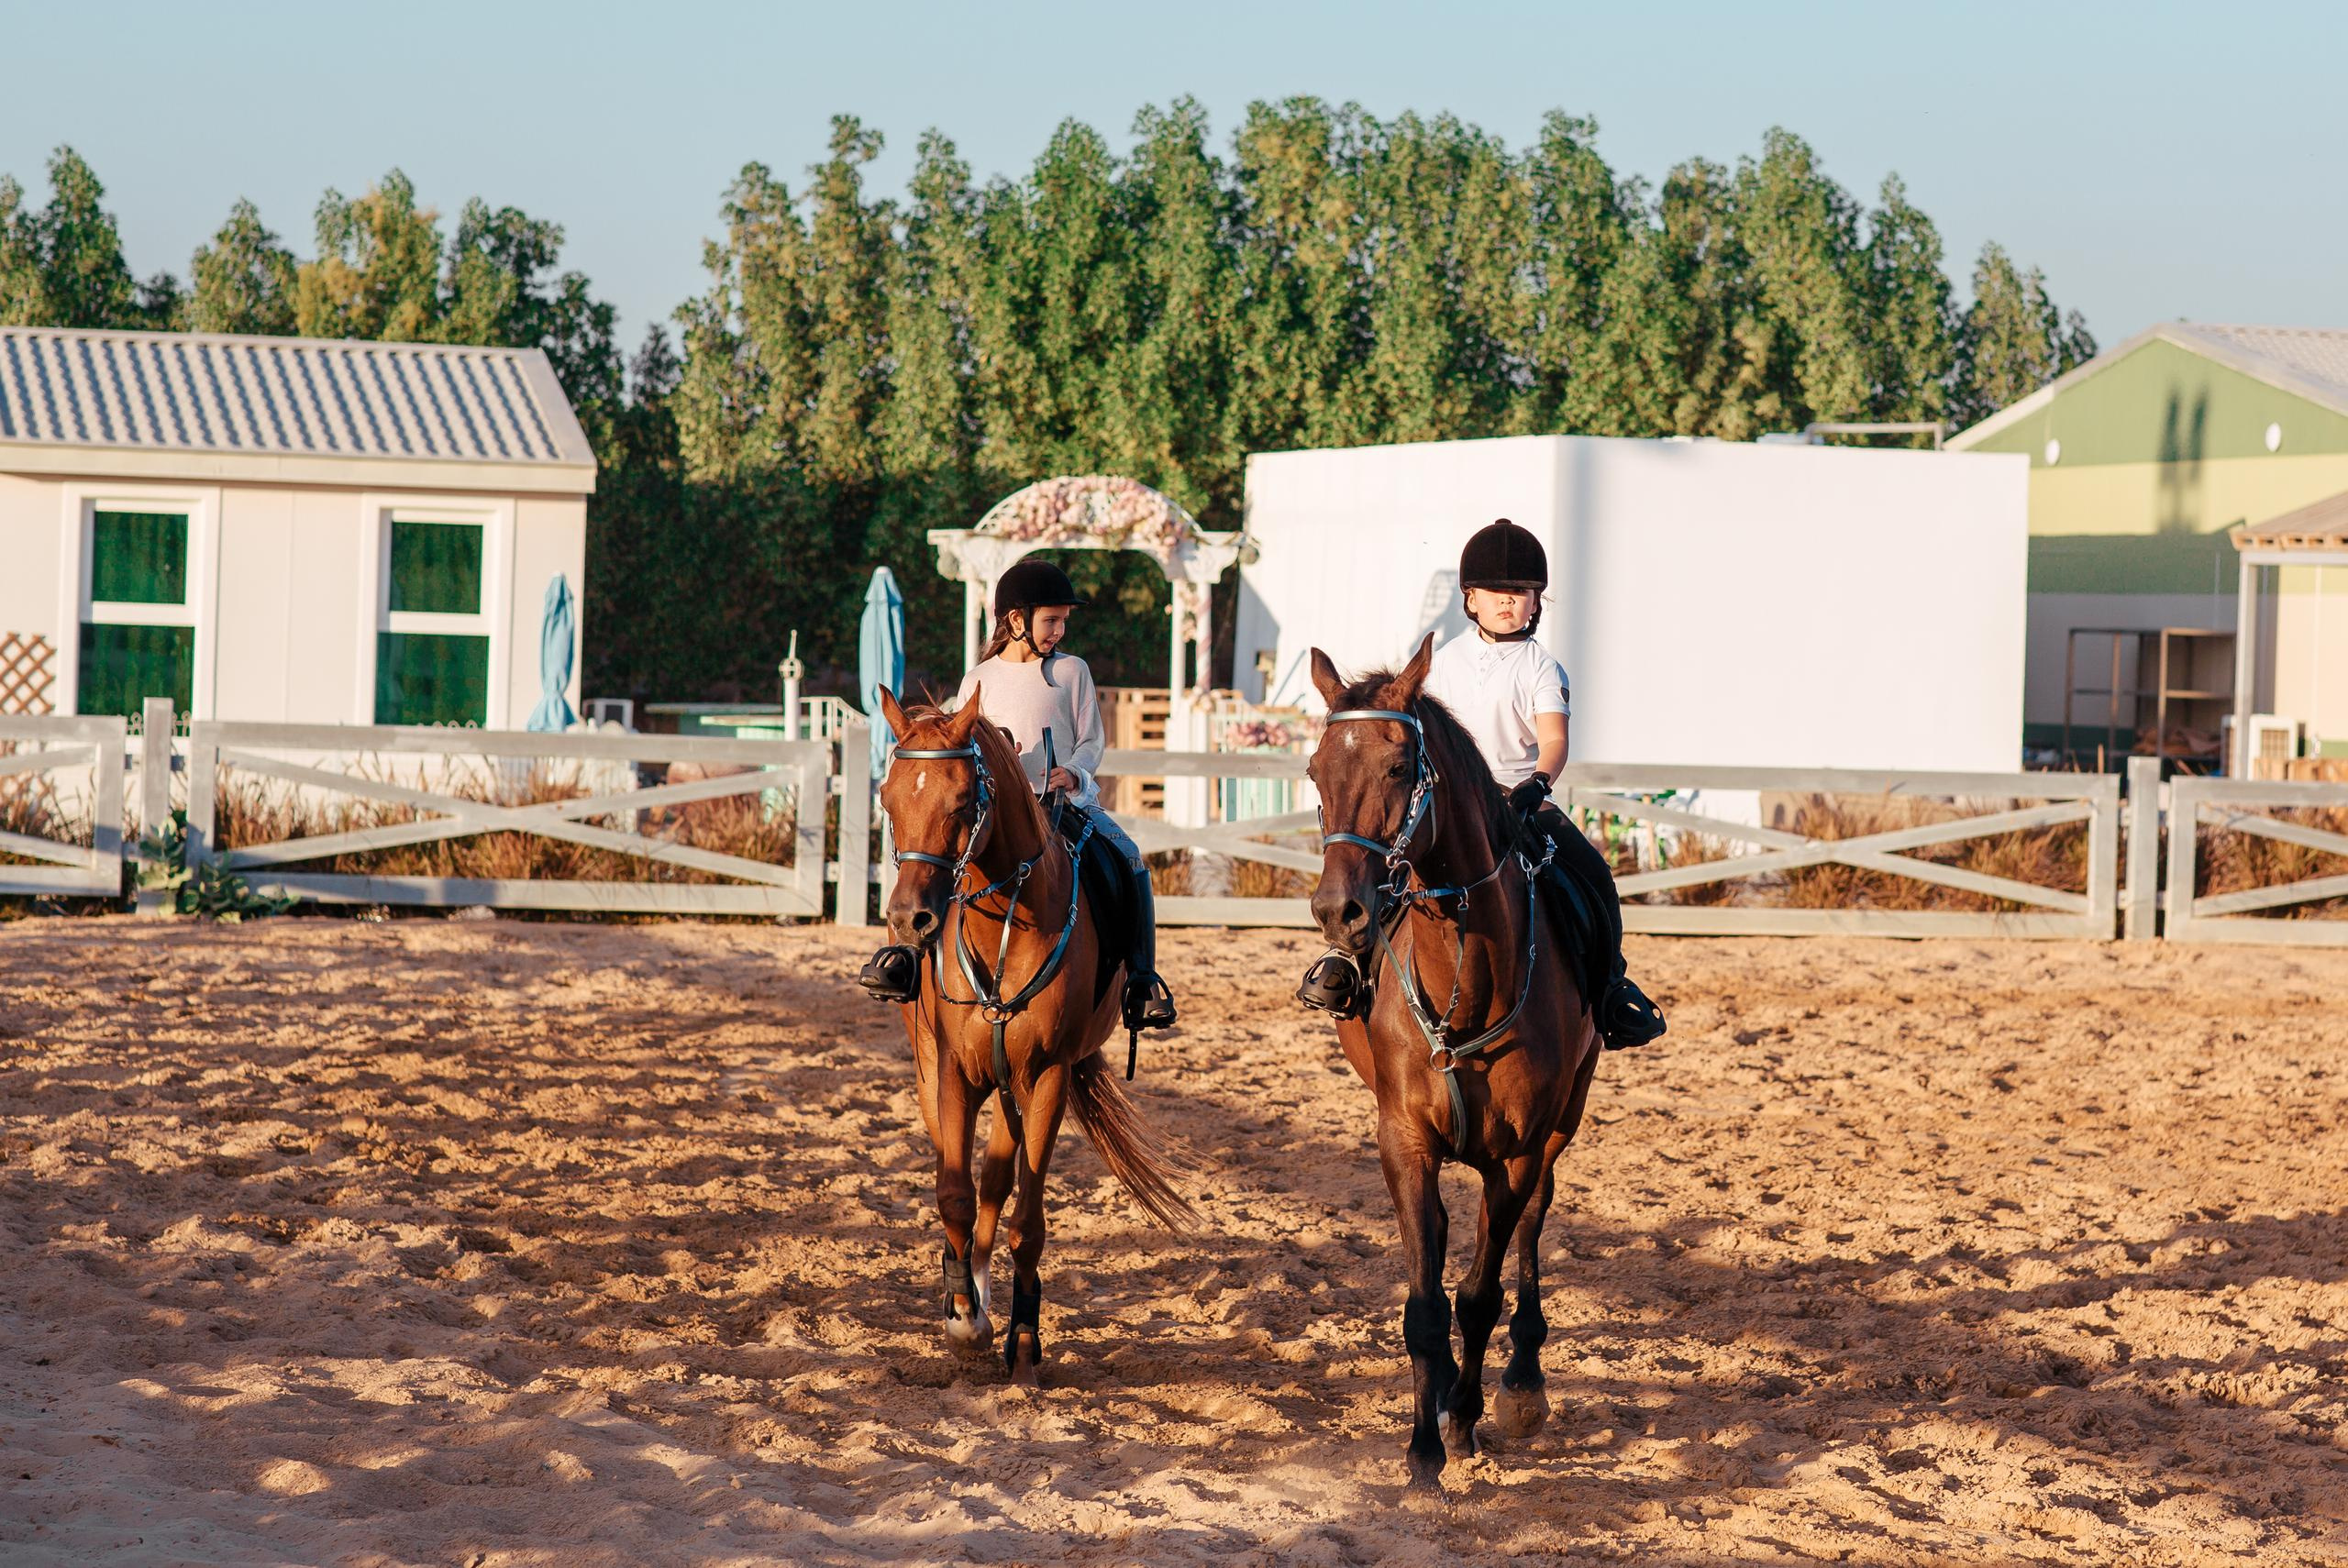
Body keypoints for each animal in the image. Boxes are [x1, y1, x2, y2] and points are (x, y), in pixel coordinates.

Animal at [873, 687, 1196, 1385]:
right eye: (887, 798)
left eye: (961, 800)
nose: (911, 919)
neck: (1005, 928)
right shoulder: (952, 1073)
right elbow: (953, 1193)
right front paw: (962, 1318)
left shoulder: (1046, 1077)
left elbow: (1025, 1219)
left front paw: (1021, 1336)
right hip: (942, 1073)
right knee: (972, 1181)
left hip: (1018, 1086)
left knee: (1001, 1181)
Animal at [1301, 635, 1604, 1486]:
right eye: (1315, 771)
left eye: (1400, 767)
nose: (1340, 911)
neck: (1469, 977)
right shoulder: (1405, 1142)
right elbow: (1426, 1305)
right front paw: (1422, 1451)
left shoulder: (1520, 1150)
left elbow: (1478, 1294)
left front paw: (1465, 1418)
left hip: (1562, 1125)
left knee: (1531, 1229)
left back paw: (1522, 1384)